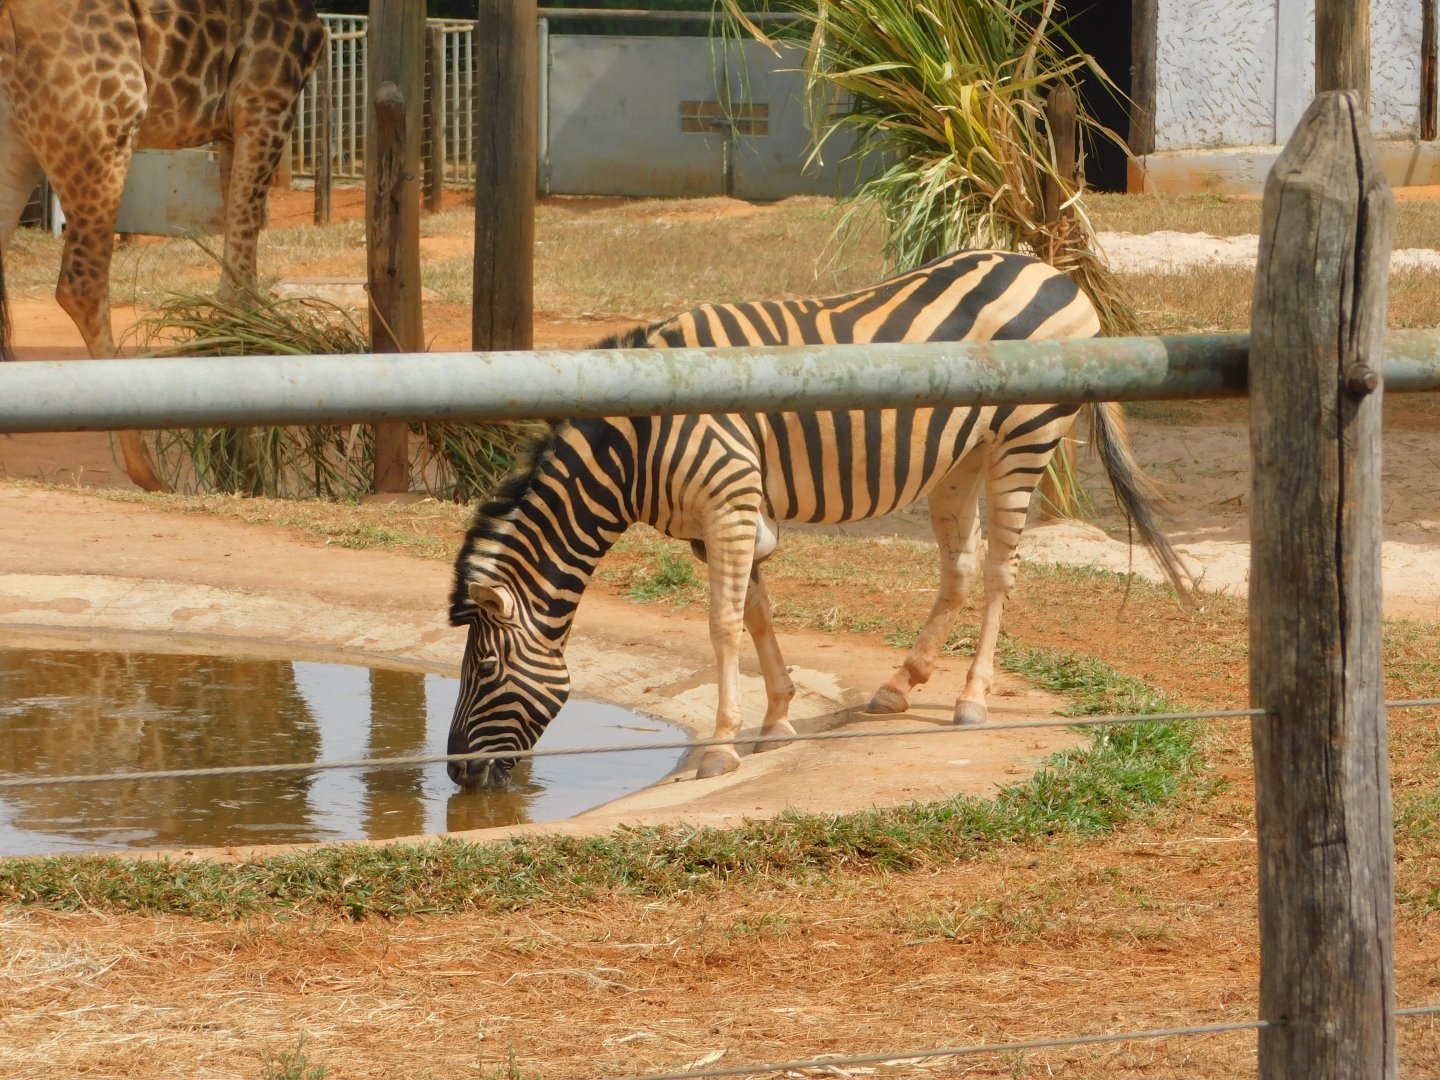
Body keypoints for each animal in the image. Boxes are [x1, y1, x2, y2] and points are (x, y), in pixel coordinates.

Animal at [447, 249, 1189, 787]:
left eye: (482, 670)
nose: (456, 776)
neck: (637, 440)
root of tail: (1051, 269)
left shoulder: (728, 500)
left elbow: (722, 625)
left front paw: (721, 747)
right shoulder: (719, 518)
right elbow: (755, 613)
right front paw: (776, 721)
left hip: (1027, 436)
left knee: (1001, 572)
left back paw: (970, 700)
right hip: (963, 452)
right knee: (961, 566)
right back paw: (898, 685)